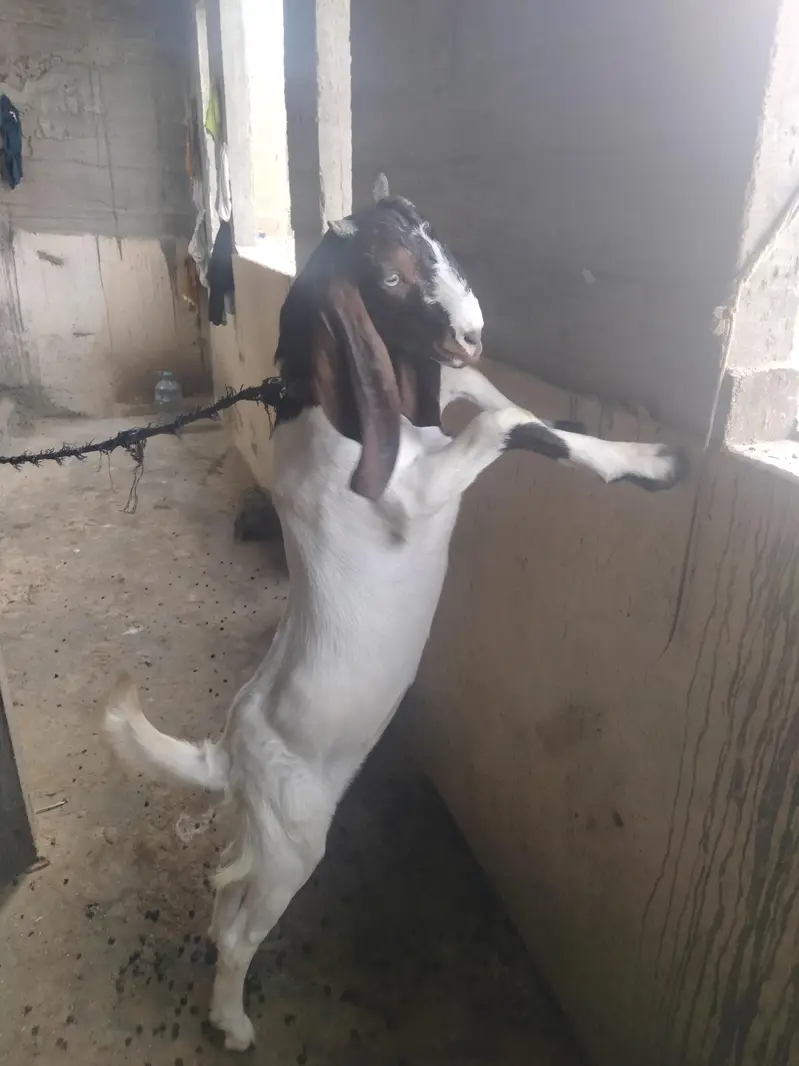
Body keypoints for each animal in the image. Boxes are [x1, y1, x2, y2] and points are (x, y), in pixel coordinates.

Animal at [103, 174, 686, 1050]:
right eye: (385, 279)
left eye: (434, 238)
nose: (473, 333)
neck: (333, 417)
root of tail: (228, 755)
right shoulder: (417, 498)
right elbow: (502, 420)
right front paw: (650, 461)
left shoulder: (435, 412)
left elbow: (484, 400)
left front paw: (617, 445)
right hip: (296, 842)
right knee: (244, 928)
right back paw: (231, 1021)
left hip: (261, 833)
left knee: (227, 888)